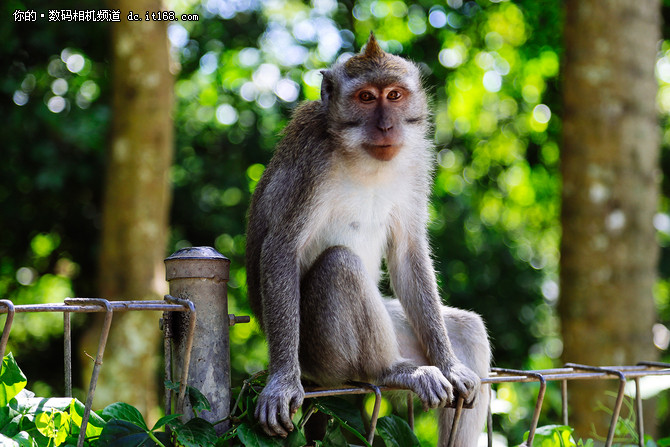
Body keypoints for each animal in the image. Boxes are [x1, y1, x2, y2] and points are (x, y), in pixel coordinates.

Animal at [247, 34, 494, 447]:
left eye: (394, 95)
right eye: (365, 98)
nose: (386, 126)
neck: (362, 157)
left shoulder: (416, 162)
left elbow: (408, 252)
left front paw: (450, 363)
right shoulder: (310, 162)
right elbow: (281, 247)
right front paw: (281, 381)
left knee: (468, 328)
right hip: (320, 360)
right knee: (340, 265)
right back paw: (392, 371)